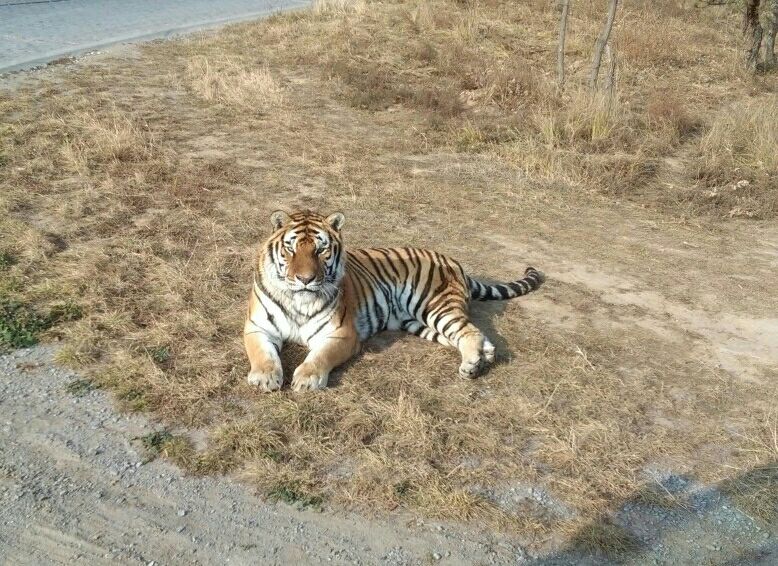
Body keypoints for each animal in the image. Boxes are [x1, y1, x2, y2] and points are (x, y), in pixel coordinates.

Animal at [246, 211, 544, 392]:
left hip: (434, 306)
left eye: (321, 250)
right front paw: (265, 377)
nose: (305, 279)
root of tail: (452, 260)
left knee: (469, 331)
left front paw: (306, 379)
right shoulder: (256, 327)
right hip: (418, 323)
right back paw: (484, 358)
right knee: (472, 334)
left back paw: (471, 365)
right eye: (290, 248)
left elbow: (319, 356)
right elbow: (262, 354)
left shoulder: (340, 334)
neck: (298, 299)